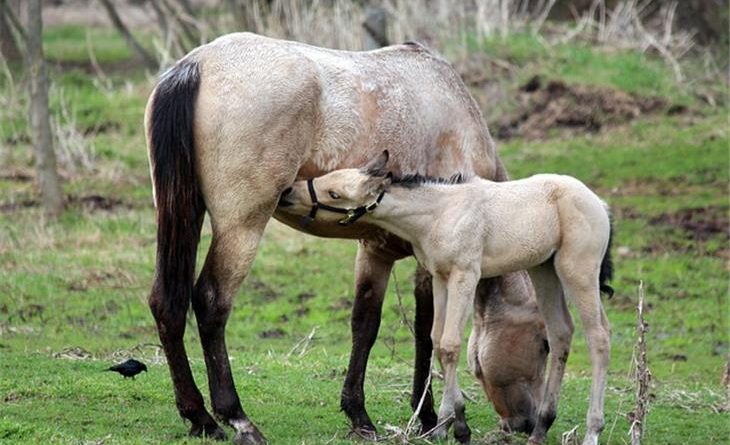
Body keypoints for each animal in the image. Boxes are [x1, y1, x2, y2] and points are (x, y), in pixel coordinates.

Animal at [144, 33, 540, 442]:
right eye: (543, 345)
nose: (529, 422)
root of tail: (199, 64)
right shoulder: (433, 263)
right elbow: (426, 330)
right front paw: (429, 417)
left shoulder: (376, 251)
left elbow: (365, 324)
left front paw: (359, 414)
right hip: (241, 226)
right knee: (211, 302)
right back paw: (236, 416)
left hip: (183, 213)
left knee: (167, 304)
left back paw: (199, 416)